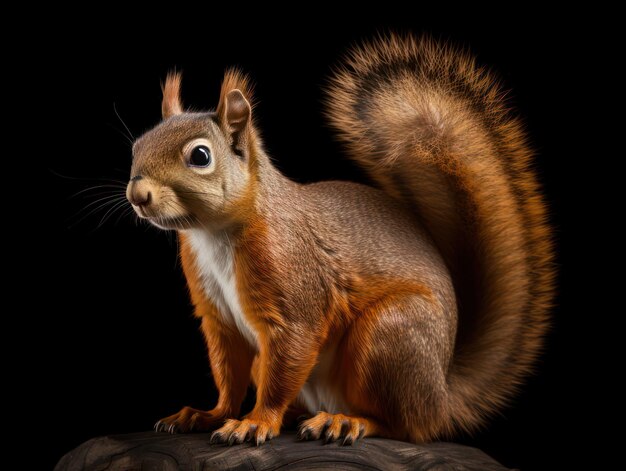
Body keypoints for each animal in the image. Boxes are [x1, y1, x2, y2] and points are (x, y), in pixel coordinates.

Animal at [125, 36, 552, 446]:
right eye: (137, 146)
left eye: (200, 156)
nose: (138, 195)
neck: (212, 234)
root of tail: (442, 399)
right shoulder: (217, 317)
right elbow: (228, 373)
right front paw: (209, 414)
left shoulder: (293, 285)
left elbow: (288, 355)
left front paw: (255, 422)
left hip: (389, 336)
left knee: (402, 426)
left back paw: (346, 421)